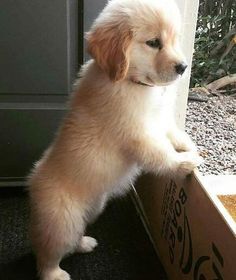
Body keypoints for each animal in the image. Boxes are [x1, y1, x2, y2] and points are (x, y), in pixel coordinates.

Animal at [27, 1, 201, 278]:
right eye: (153, 42)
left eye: (175, 39)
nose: (183, 67)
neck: (132, 82)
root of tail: (33, 185)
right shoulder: (137, 134)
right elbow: (161, 153)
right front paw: (184, 163)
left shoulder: (159, 120)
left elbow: (171, 132)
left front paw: (188, 145)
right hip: (61, 220)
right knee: (47, 253)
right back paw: (54, 273)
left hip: (93, 209)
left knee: (74, 236)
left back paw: (84, 243)